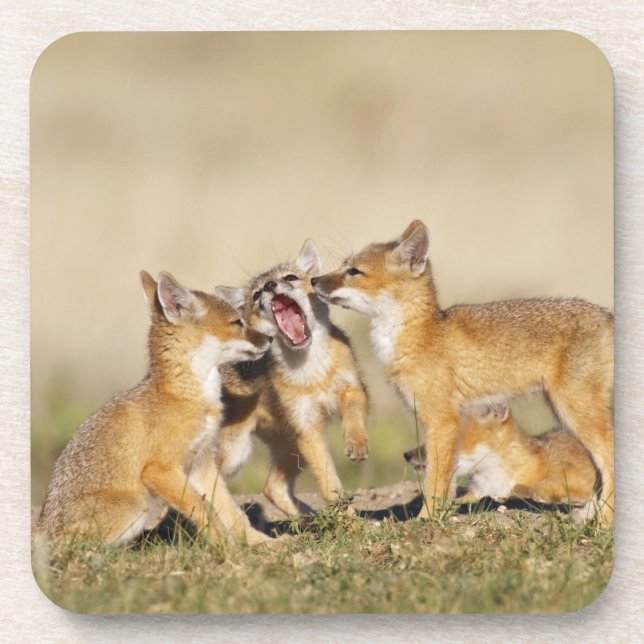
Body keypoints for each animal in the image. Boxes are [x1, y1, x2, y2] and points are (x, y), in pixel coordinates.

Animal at [36, 271, 278, 548]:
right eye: (237, 322)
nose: (270, 338)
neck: (186, 395)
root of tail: (42, 523)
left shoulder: (201, 463)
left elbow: (232, 512)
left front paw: (262, 543)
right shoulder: (159, 470)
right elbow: (202, 507)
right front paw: (225, 547)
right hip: (135, 505)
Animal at [201, 239, 370, 517]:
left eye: (290, 277)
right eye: (257, 294)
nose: (270, 286)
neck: (313, 372)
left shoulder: (352, 388)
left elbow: (354, 416)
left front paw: (356, 443)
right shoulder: (307, 429)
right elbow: (329, 485)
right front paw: (349, 522)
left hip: (289, 449)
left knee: (272, 488)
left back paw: (309, 520)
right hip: (237, 453)